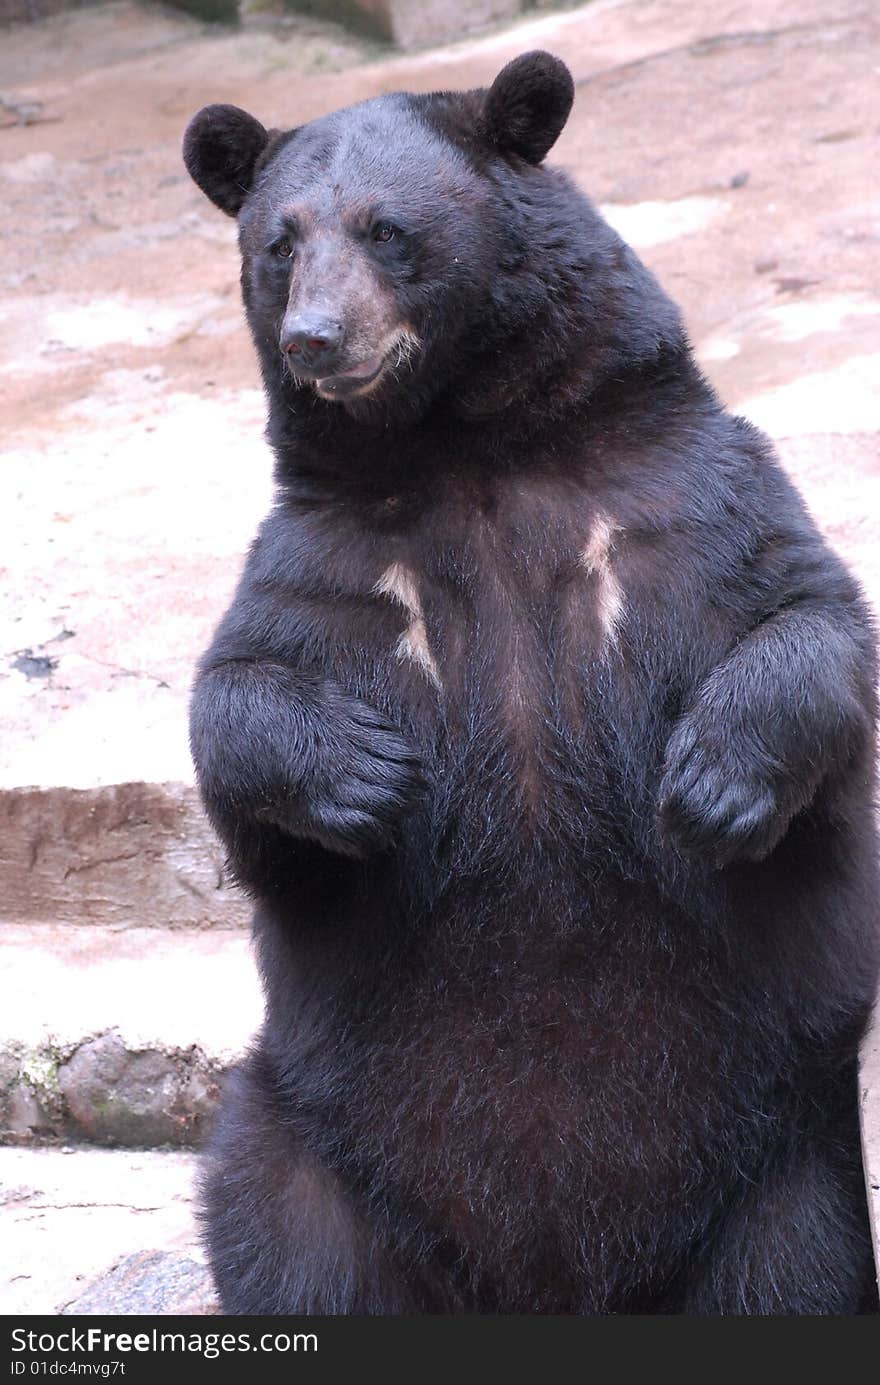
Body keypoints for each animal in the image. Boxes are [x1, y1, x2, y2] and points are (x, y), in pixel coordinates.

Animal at [182, 51, 875, 1307]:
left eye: (387, 228)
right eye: (278, 243)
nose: (315, 338)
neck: (469, 453)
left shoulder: (670, 505)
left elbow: (804, 616)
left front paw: (714, 782)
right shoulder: (342, 559)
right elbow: (240, 691)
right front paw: (362, 776)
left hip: (783, 1155)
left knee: (790, 1268)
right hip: (314, 1134)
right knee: (288, 1240)